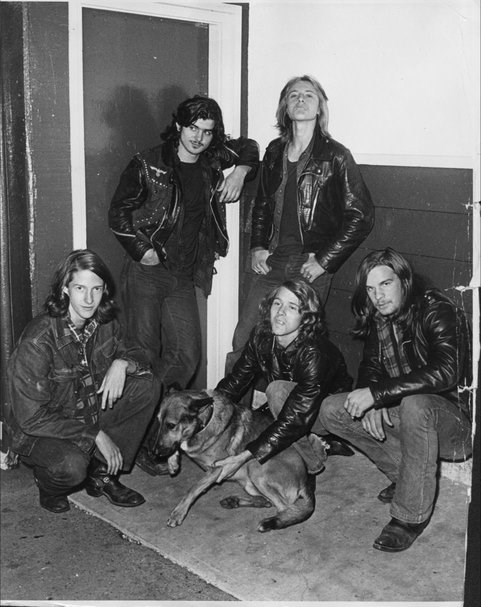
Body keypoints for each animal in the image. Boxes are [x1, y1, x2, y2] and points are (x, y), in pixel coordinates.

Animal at [150, 390, 316, 532]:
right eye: (158, 421)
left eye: (171, 425)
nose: (155, 453)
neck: (205, 420)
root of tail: (304, 480)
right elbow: (176, 446)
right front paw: (172, 462)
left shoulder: (216, 469)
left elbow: (192, 489)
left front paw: (178, 513)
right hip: (249, 483)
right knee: (266, 501)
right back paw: (234, 502)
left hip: (255, 467)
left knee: (288, 509)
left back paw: (270, 523)